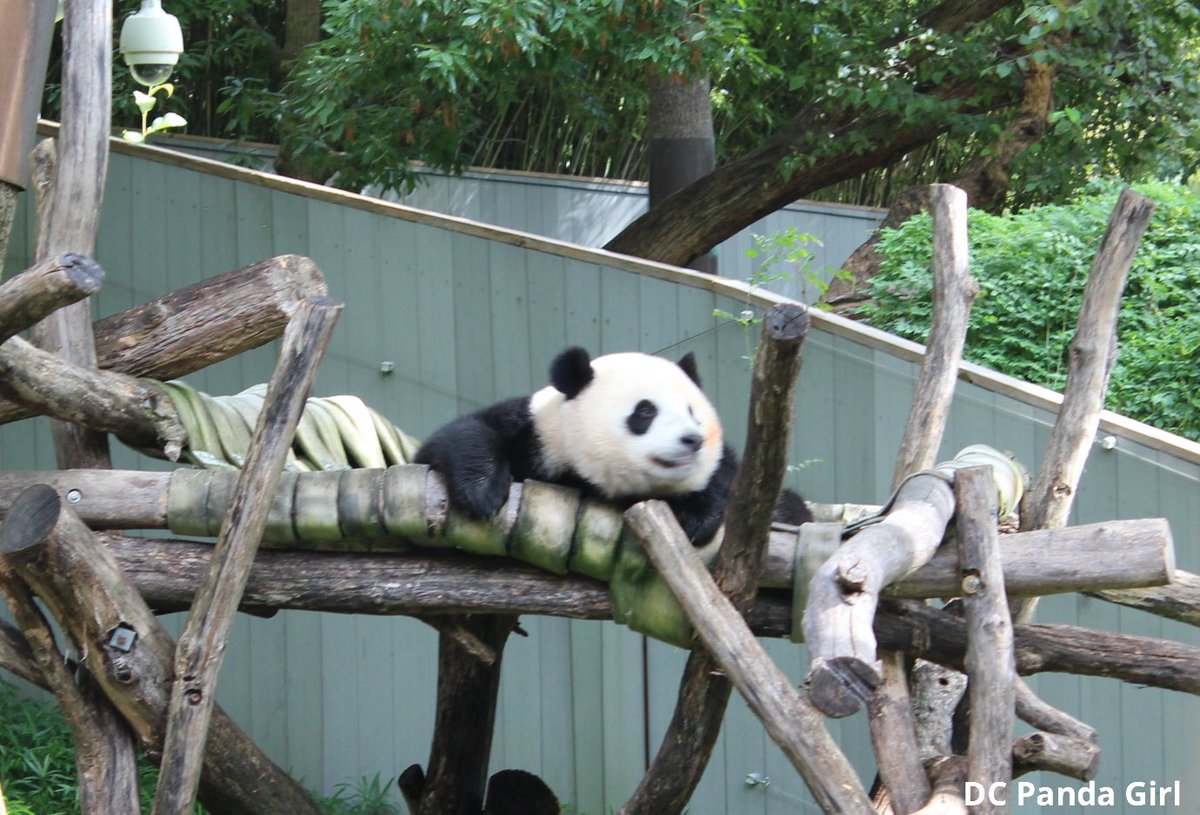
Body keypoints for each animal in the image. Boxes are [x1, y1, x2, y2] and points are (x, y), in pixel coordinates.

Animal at [414, 346, 811, 546]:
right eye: (645, 411)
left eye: (692, 413)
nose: (692, 440)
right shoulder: (536, 434)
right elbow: (460, 435)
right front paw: (481, 494)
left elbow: (728, 480)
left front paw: (696, 515)